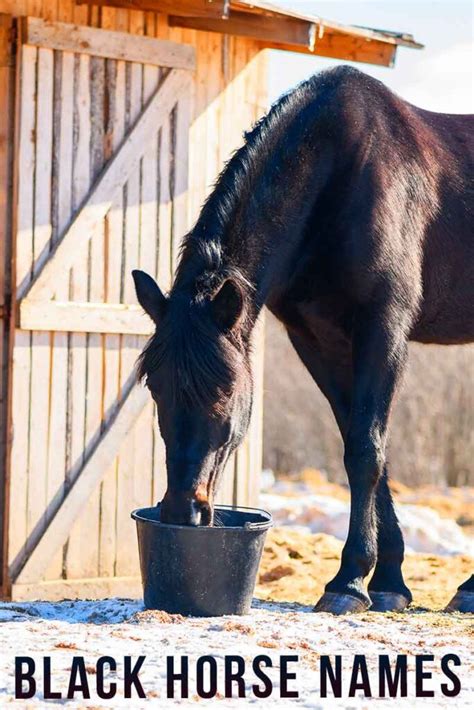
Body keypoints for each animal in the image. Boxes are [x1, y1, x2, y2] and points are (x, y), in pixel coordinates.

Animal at [132, 65, 474, 616]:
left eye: (226, 391)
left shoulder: (384, 328)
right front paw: (388, 582)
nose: (184, 512)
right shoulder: (318, 341)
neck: (340, 174)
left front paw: (349, 582)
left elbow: (365, 450)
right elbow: (364, 445)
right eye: (155, 389)